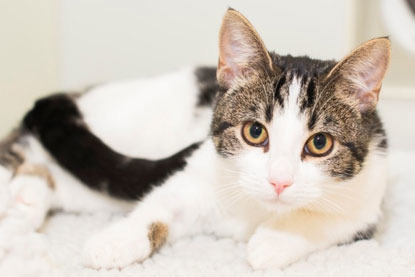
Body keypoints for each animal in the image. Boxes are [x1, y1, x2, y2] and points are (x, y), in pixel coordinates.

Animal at [0, 9, 390, 270]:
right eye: (255, 132)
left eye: (320, 144)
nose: (278, 181)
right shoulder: (198, 172)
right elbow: (163, 203)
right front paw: (114, 241)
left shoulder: (371, 189)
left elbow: (335, 219)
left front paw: (273, 240)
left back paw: (26, 202)